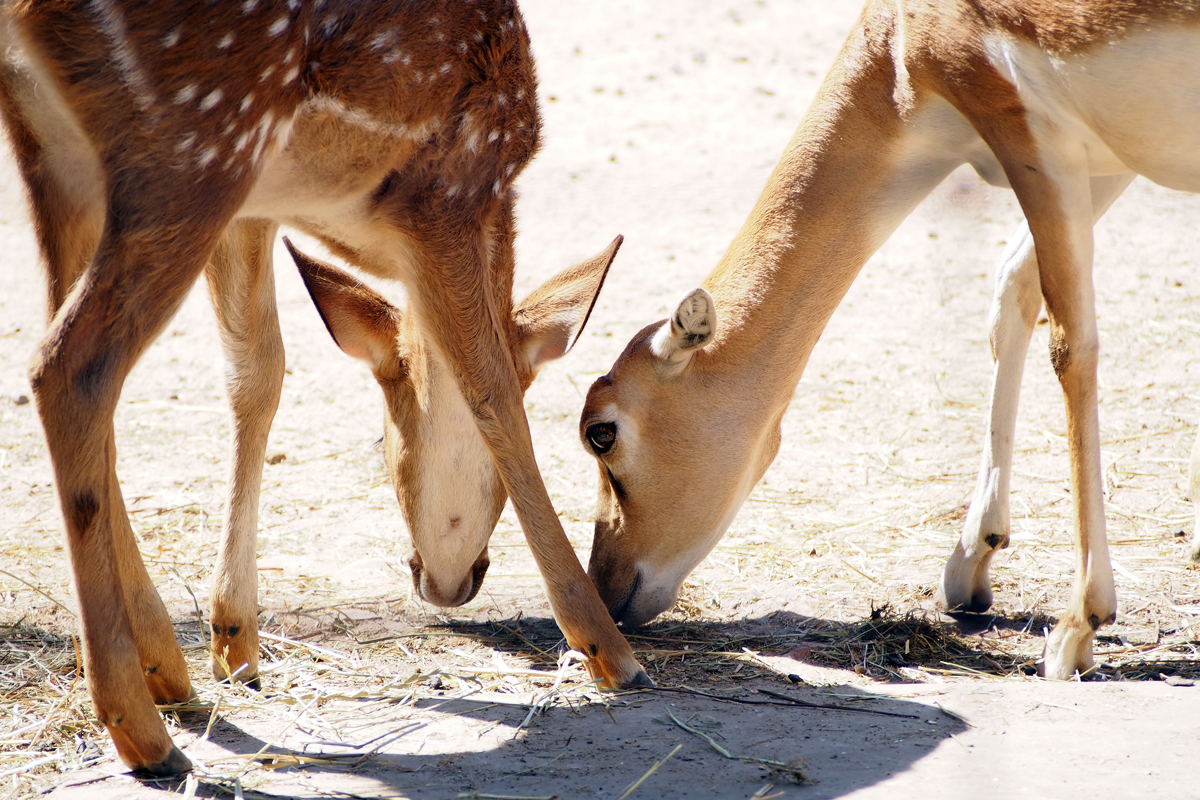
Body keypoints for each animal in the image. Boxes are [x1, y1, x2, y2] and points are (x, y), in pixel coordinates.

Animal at [0, 0, 648, 777]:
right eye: (383, 436)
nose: (450, 581)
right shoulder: (449, 191)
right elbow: (489, 388)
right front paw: (609, 651)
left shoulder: (258, 208)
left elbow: (257, 372)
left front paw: (233, 643)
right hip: (194, 145)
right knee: (69, 367)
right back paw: (142, 733)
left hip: (60, 150)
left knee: (72, 357)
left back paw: (164, 673)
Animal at [576, 1, 1195, 681]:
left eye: (600, 432)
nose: (603, 588)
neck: (903, 43)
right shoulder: (1106, 160)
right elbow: (1013, 287)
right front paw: (970, 563)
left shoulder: (1035, 134)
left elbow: (1070, 344)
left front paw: (1077, 626)